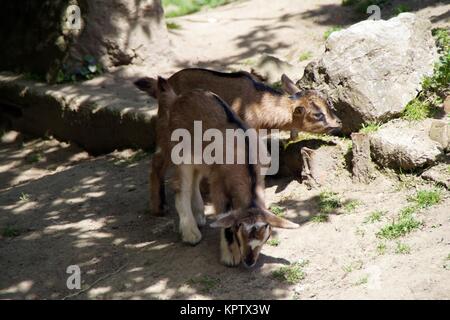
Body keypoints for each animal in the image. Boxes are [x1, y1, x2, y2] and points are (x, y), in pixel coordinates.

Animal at [153, 77, 298, 268]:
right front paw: (230, 256)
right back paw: (191, 233)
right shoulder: (218, 182)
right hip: (180, 152)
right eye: (239, 231)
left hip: (200, 159)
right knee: (181, 187)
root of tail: (177, 98)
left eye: (266, 237)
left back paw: (199, 216)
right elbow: (223, 214)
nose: (249, 261)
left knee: (194, 181)